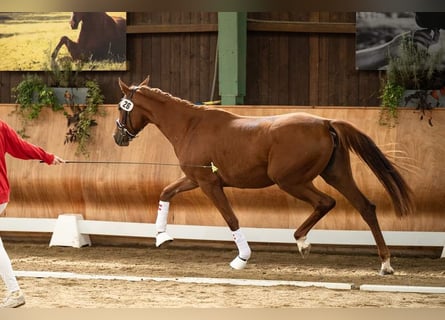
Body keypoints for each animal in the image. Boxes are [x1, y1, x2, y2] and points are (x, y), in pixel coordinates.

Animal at [113, 77, 412, 276]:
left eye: (121, 107)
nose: (118, 137)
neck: (190, 126)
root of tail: (325, 122)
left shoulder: (209, 184)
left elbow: (231, 218)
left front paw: (242, 259)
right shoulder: (195, 179)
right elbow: (166, 192)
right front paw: (162, 236)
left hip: (291, 180)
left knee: (326, 202)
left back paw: (303, 242)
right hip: (336, 175)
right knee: (365, 207)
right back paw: (385, 264)